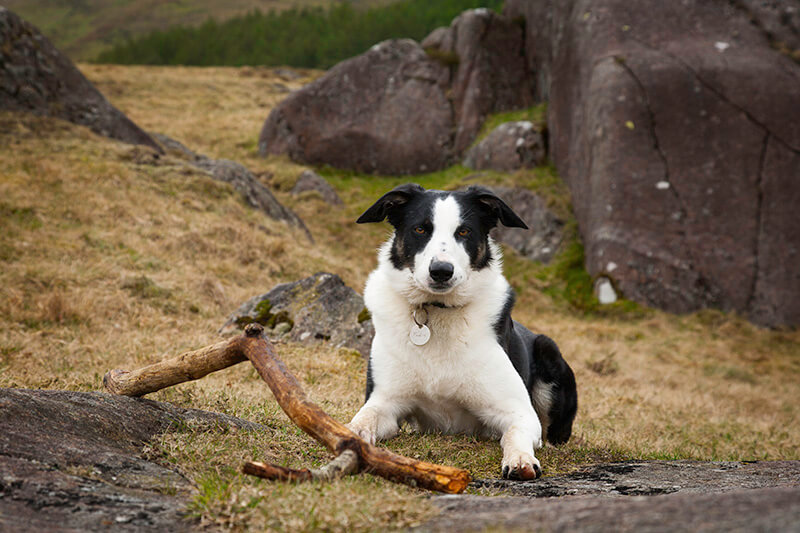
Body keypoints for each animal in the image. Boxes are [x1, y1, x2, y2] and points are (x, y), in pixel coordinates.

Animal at [346, 183, 580, 478]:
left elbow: (514, 433)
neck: (437, 311)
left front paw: (520, 459)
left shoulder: (519, 411)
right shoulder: (384, 401)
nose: (441, 271)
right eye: (420, 229)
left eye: (464, 231)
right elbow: (361, 420)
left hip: (548, 352)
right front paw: (347, 436)